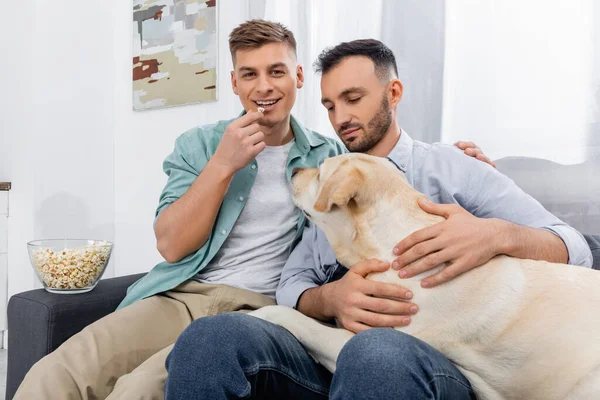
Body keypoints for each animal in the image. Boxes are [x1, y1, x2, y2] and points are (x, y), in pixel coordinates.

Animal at [251, 153, 600, 400]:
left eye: (321, 173)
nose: (295, 171)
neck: (390, 243)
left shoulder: (348, 341)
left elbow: (295, 318)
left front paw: (259, 313)